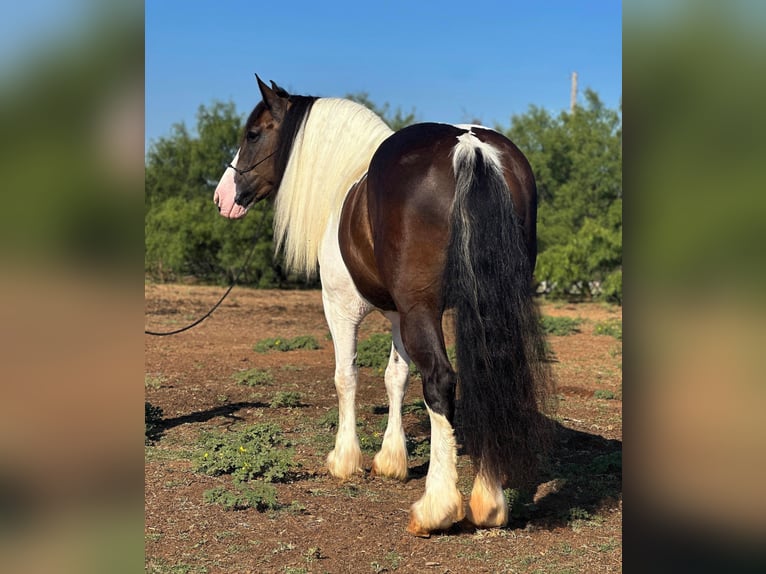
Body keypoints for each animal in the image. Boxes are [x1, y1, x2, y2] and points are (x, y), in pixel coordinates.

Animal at [213, 76, 556, 540]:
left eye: (253, 134)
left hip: (421, 310)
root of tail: (470, 147)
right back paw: (489, 503)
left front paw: (345, 459)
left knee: (441, 382)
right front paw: (391, 460)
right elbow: (397, 376)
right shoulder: (397, 315)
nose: (222, 197)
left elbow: (347, 377)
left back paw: (436, 508)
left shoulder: (341, 306)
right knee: (485, 377)